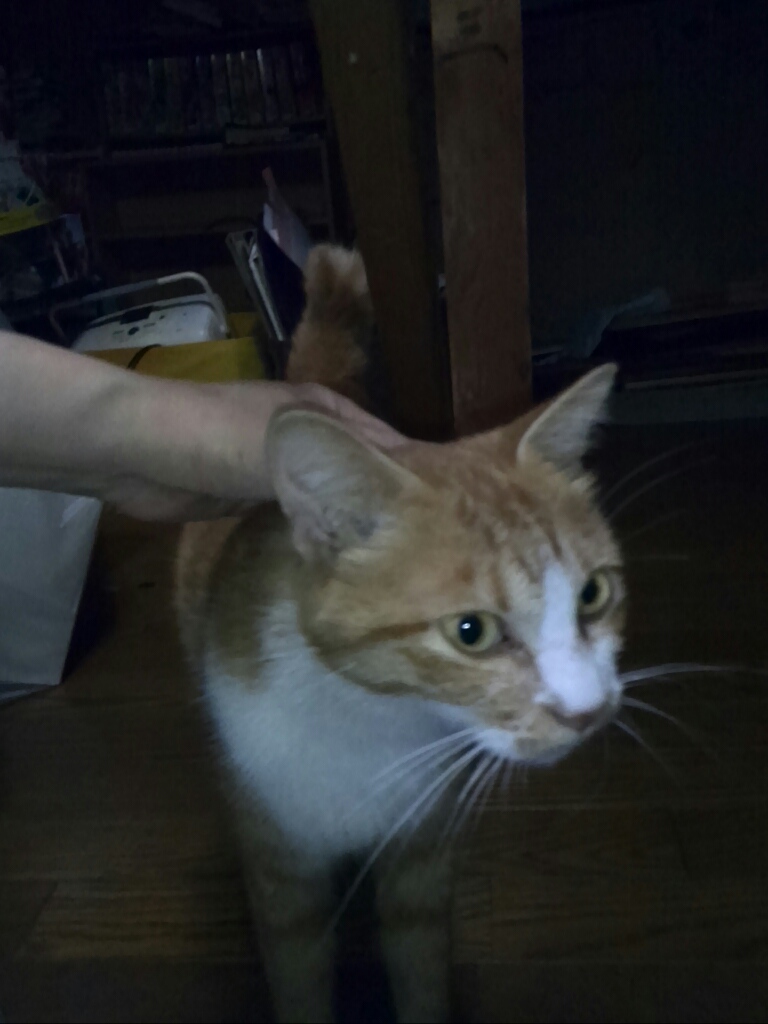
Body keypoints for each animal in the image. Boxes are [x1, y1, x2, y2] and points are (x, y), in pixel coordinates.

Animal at [175, 245, 625, 1024]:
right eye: (471, 632)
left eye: (593, 595)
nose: (588, 713)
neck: (374, 722)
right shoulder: (283, 873)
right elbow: (299, 974)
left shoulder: (422, 861)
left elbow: (419, 968)